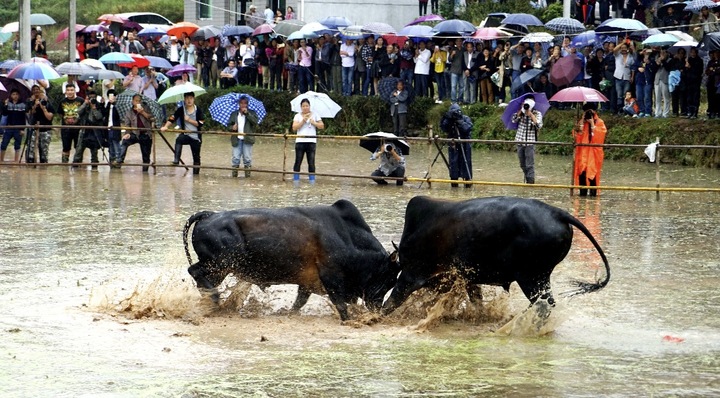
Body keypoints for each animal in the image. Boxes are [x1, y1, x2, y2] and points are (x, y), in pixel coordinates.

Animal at [183, 199, 400, 320]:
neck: (347, 236)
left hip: (219, 269)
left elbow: (298, 303)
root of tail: (209, 215)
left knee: (201, 280)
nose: (378, 307)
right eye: (389, 278)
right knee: (194, 271)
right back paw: (214, 298)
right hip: (220, 263)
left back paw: (211, 300)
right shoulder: (331, 276)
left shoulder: (307, 283)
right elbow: (340, 305)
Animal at [380, 196, 612, 314]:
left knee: (544, 305)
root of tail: (557, 213)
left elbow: (389, 304)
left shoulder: (411, 276)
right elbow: (476, 301)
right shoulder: (467, 279)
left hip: (531, 277)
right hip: (538, 278)